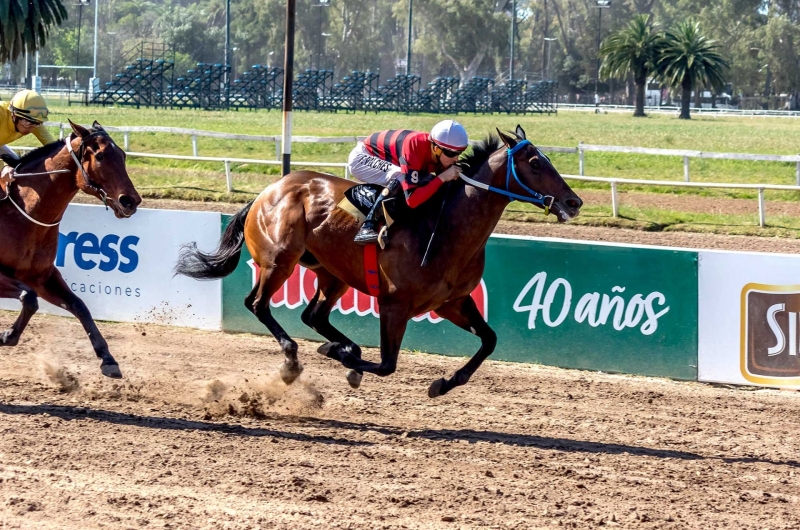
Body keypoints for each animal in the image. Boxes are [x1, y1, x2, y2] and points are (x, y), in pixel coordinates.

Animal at [0, 119, 141, 376]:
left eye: (123, 155)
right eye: (101, 156)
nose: (130, 201)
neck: (21, 211)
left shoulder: (41, 276)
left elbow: (79, 305)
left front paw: (108, 359)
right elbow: (29, 298)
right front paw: (5, 335)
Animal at [177, 125, 580, 396]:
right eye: (534, 162)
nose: (573, 201)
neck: (446, 229)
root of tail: (266, 192)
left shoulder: (451, 302)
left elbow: (490, 340)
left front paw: (445, 382)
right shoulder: (394, 304)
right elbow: (387, 365)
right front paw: (344, 361)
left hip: (332, 273)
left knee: (313, 316)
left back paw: (341, 347)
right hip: (280, 260)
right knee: (259, 304)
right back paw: (296, 360)